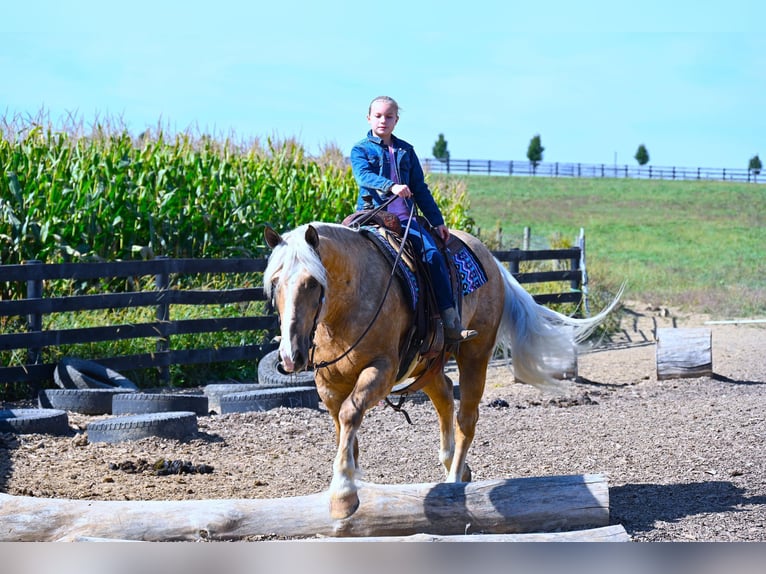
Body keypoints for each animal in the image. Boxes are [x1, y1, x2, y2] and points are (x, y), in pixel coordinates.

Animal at [264, 223, 624, 520]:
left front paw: (343, 494)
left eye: (312, 282)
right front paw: (349, 479)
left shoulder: (381, 370)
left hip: (475, 355)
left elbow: (351, 414)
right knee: (444, 395)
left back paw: (453, 480)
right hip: (428, 364)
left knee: (466, 417)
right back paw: (454, 465)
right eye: (275, 282)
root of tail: (491, 260)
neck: (348, 302)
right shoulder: (328, 383)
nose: (291, 356)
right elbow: (343, 428)